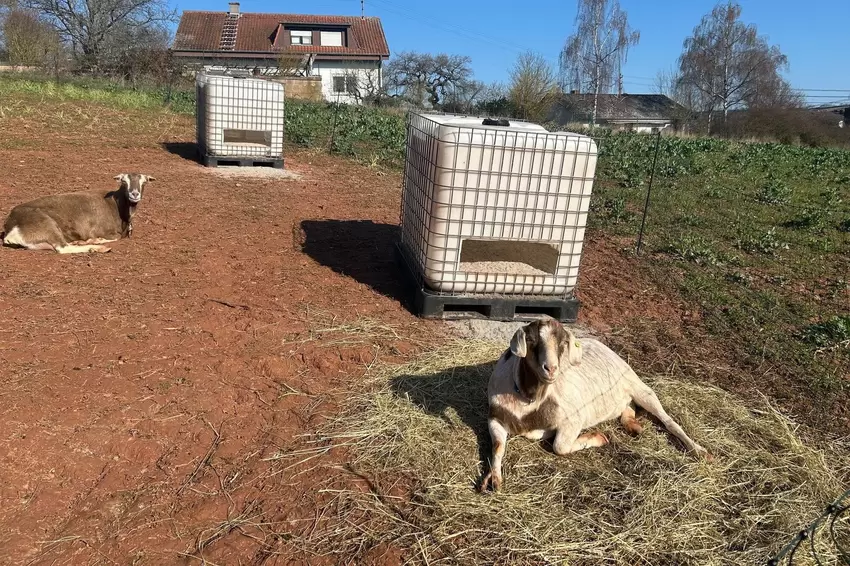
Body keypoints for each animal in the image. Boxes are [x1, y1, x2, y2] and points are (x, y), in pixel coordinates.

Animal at [2, 173, 154, 254]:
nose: (134, 194)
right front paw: (95, 241)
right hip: (46, 224)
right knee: (63, 248)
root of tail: (11, 226)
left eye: (144, 181)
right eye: (124, 181)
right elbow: (115, 237)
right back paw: (99, 248)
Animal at [480, 318, 709, 492]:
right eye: (531, 340)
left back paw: (700, 451)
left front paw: (599, 438)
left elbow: (560, 447)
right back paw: (633, 425)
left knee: (668, 420)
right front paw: (493, 479)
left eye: (563, 343)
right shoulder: (496, 417)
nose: (551, 368)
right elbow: (498, 446)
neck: (530, 400)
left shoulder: (573, 418)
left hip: (637, 385)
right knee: (628, 407)